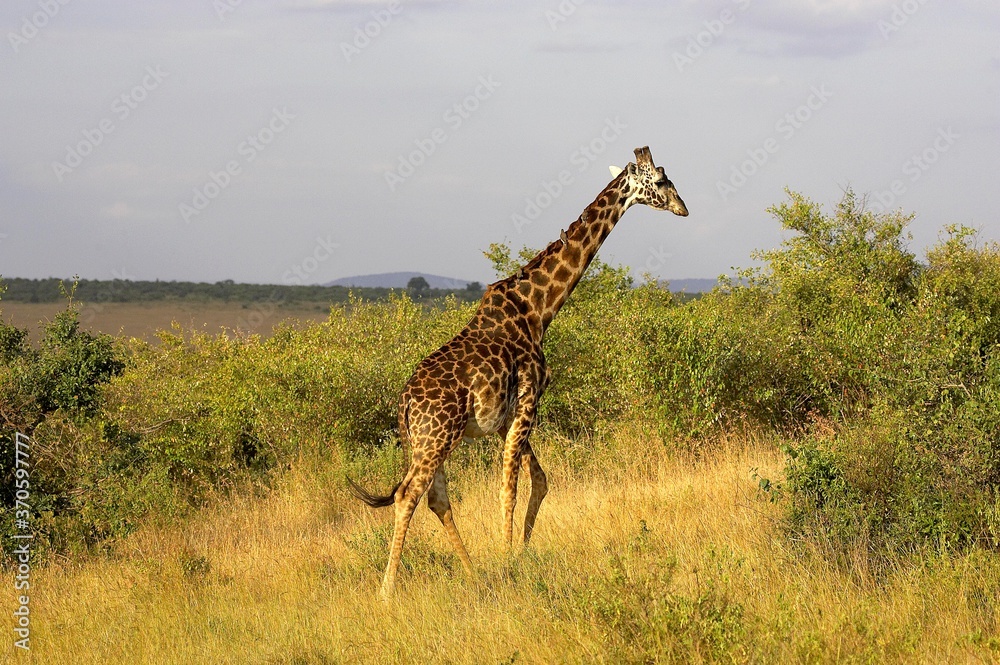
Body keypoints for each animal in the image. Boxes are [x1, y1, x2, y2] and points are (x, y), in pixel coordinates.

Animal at [347, 146, 688, 597]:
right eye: (662, 180)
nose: (684, 208)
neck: (537, 310)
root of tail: (404, 404)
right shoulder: (529, 401)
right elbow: (508, 486)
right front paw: (508, 556)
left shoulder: (510, 415)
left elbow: (539, 479)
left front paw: (519, 552)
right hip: (438, 437)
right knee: (408, 495)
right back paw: (387, 591)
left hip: (424, 442)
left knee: (437, 498)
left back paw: (472, 573)